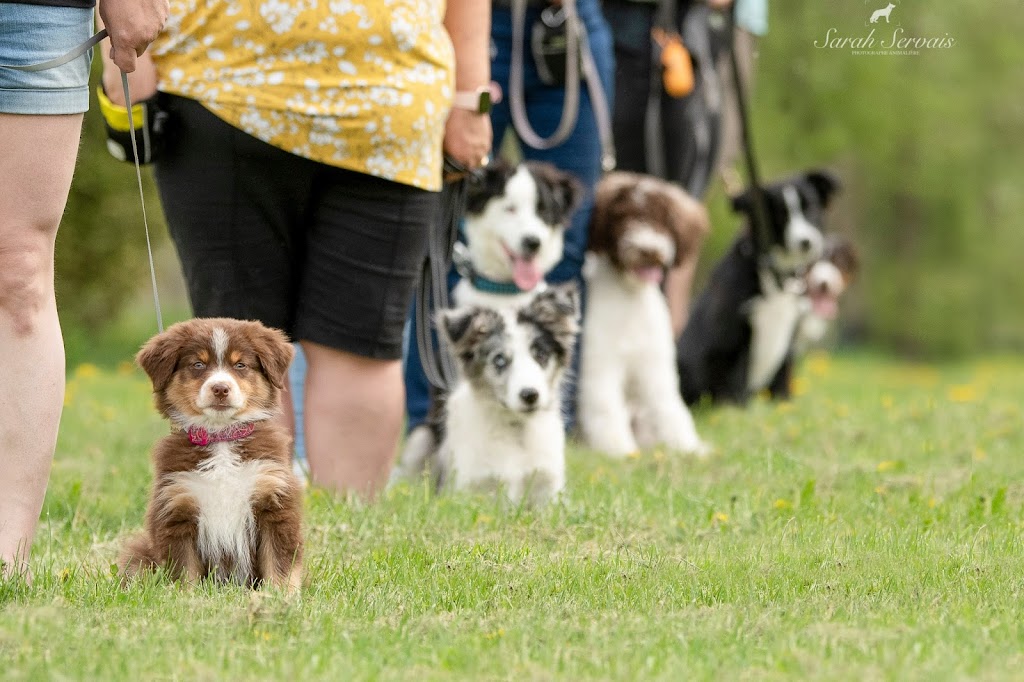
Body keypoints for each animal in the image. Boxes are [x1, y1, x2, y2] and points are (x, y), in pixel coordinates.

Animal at [119, 315, 301, 585]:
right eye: (198, 364)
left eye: (240, 365)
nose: (220, 389)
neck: (221, 438)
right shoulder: (177, 507)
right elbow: (185, 571)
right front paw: (187, 594)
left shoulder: (274, 502)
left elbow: (279, 564)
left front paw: (278, 593)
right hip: (139, 554)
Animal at [577, 171, 712, 456]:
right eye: (623, 218)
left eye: (662, 220)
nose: (648, 250)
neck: (631, 299)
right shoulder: (600, 364)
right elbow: (605, 406)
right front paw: (619, 450)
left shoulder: (655, 364)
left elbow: (669, 407)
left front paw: (688, 447)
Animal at [675, 169, 843, 403]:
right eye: (780, 214)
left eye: (810, 207)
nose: (806, 242)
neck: (775, 276)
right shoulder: (734, 336)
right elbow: (737, 383)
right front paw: (736, 407)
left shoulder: (789, 337)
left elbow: (782, 379)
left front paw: (784, 405)